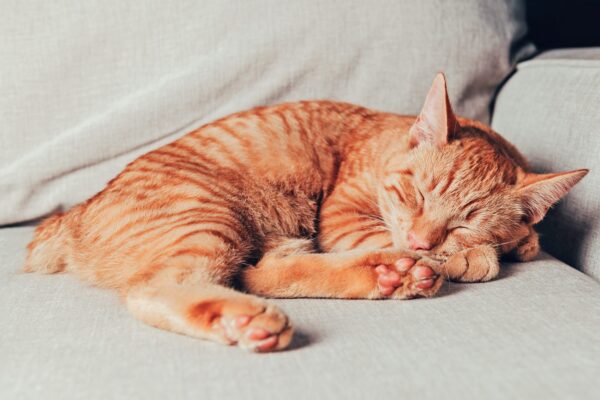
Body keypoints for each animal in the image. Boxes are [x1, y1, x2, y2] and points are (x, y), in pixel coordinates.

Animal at [23, 73, 584, 352]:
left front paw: (512, 240)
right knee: (157, 288)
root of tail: (72, 214)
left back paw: (389, 274)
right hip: (209, 217)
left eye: (465, 219)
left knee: (262, 272)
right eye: (416, 195)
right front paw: (470, 257)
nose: (424, 243)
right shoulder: (343, 216)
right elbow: (393, 235)